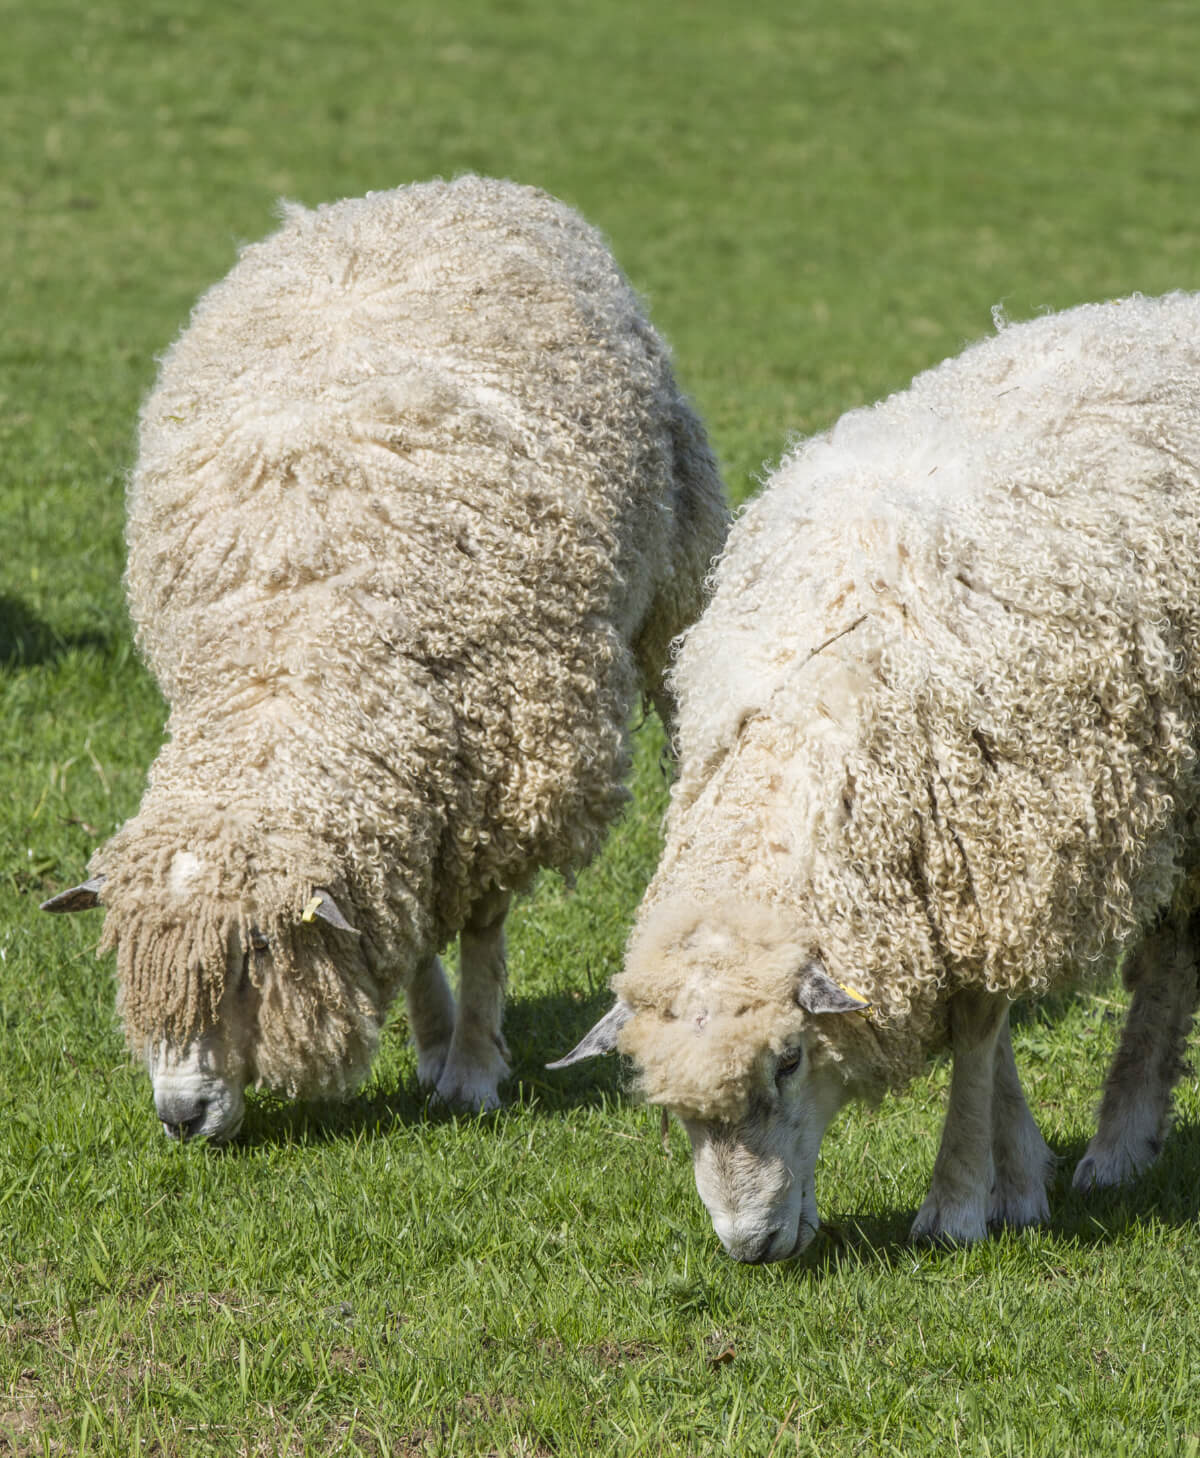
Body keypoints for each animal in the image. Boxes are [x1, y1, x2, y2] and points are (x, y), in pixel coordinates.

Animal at [41, 175, 727, 1142]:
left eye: (251, 962)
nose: (179, 1116)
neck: (291, 660)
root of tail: (444, 187)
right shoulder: (410, 792)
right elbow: (402, 928)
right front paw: (432, 1042)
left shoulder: (504, 771)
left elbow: (480, 929)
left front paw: (472, 1067)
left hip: (679, 563)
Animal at [551, 291, 1200, 1261]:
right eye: (675, 1112)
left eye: (789, 1060)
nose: (748, 1245)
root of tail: (1164, 308)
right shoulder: (947, 879)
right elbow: (994, 1040)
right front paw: (1019, 1175)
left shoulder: (992, 858)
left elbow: (977, 1032)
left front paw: (961, 1200)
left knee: (1167, 958)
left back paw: (1120, 1142)